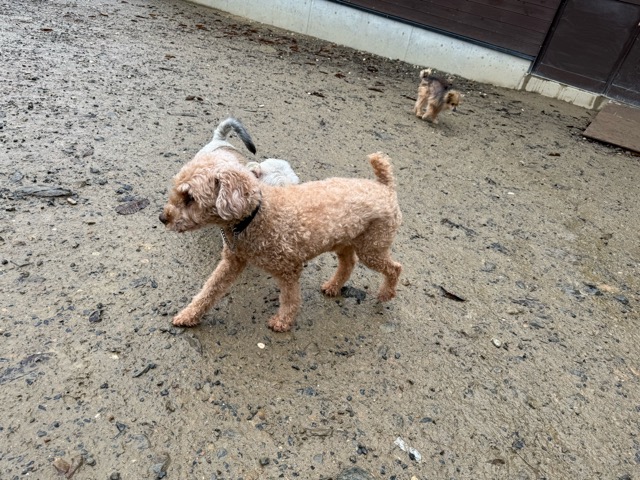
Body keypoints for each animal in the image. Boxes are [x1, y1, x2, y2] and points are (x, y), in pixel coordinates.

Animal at [159, 152, 402, 332]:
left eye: (190, 198)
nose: (163, 218)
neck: (255, 214)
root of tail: (385, 187)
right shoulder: (233, 260)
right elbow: (210, 289)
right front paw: (189, 315)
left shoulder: (289, 268)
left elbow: (290, 298)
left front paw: (283, 321)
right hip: (344, 241)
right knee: (348, 263)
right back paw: (333, 286)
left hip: (372, 246)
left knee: (395, 268)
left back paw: (386, 293)